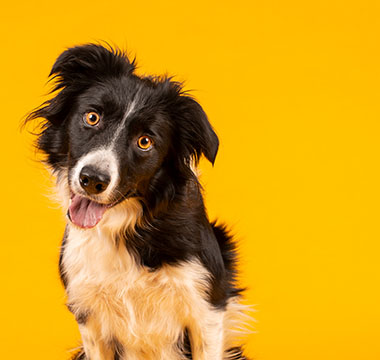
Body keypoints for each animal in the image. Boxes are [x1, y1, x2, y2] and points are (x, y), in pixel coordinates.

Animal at [28, 43, 251, 358]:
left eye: (145, 142)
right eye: (92, 117)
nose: (92, 179)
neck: (127, 224)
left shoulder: (206, 307)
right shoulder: (89, 313)